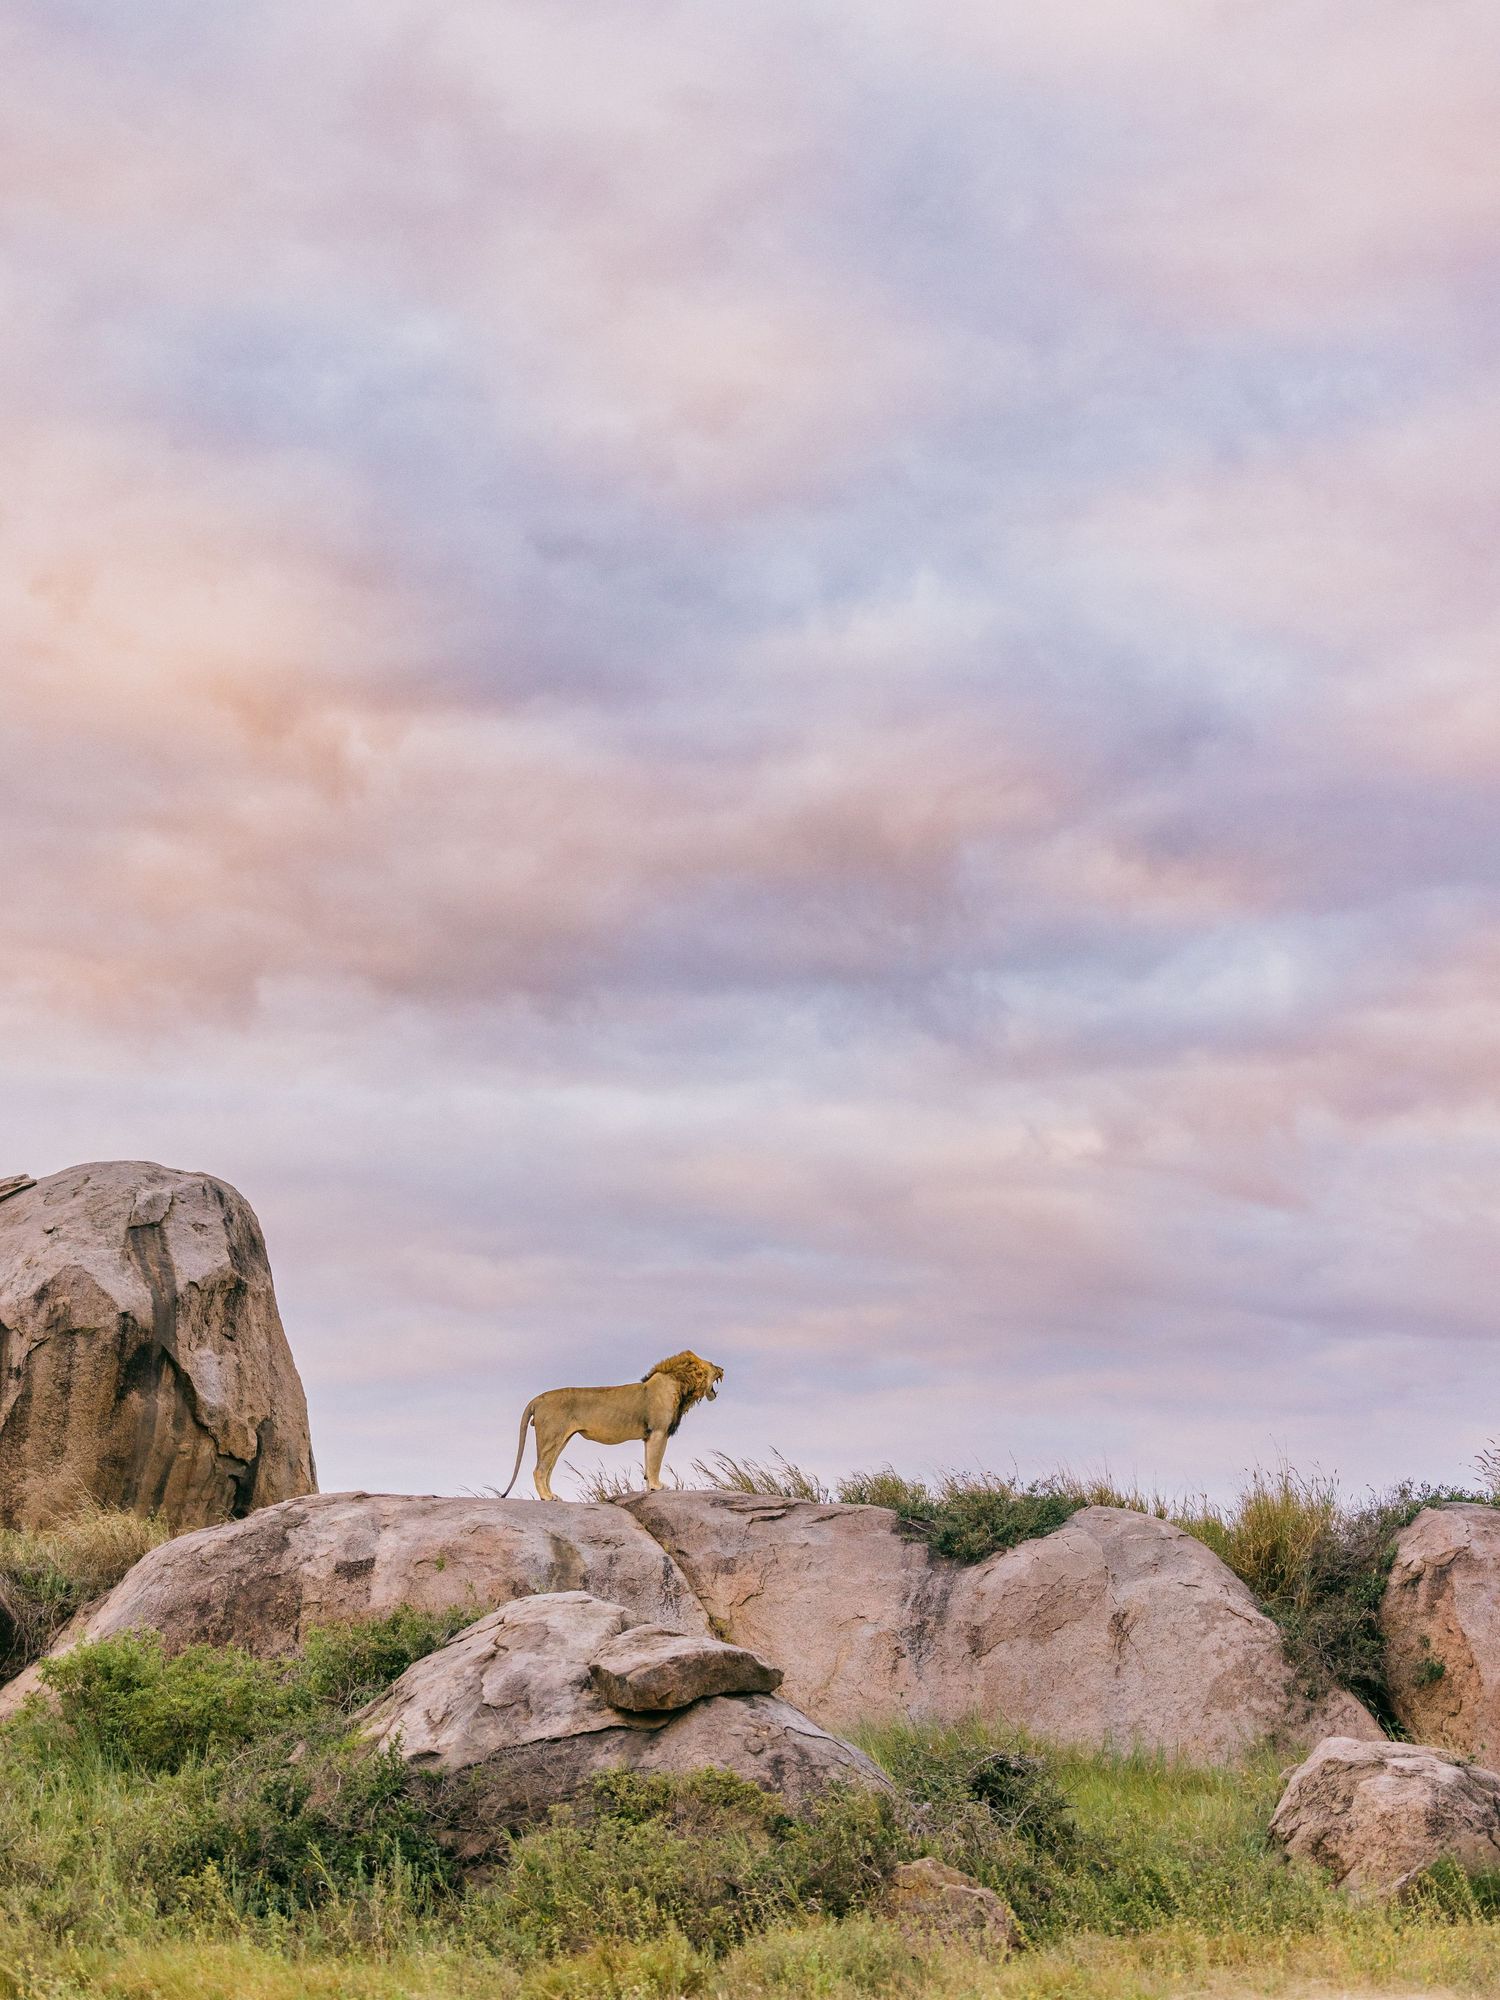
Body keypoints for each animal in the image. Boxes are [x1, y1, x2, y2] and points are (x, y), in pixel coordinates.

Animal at [498, 1351, 724, 1500]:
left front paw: (649, 1488)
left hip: (559, 1440)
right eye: (713, 1364)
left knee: (548, 1469)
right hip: (551, 1438)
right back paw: (547, 1497)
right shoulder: (659, 1432)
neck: (681, 1384)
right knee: (539, 1470)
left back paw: (552, 1495)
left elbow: (648, 1462)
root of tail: (537, 1399)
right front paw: (658, 1487)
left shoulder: (649, 1435)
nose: (723, 1368)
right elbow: (655, 1462)